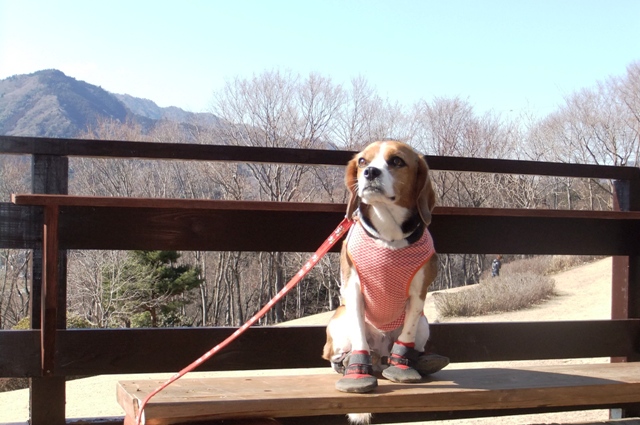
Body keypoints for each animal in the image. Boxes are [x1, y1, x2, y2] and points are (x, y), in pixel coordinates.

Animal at [320, 139, 450, 398]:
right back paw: (347, 363)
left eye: (397, 161)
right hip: (339, 319)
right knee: (335, 355)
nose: (370, 172)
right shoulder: (354, 289)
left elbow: (406, 335)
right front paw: (357, 372)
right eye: (362, 161)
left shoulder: (418, 293)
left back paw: (419, 361)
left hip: (424, 323)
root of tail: (380, 355)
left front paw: (402, 367)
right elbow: (359, 335)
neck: (389, 233)